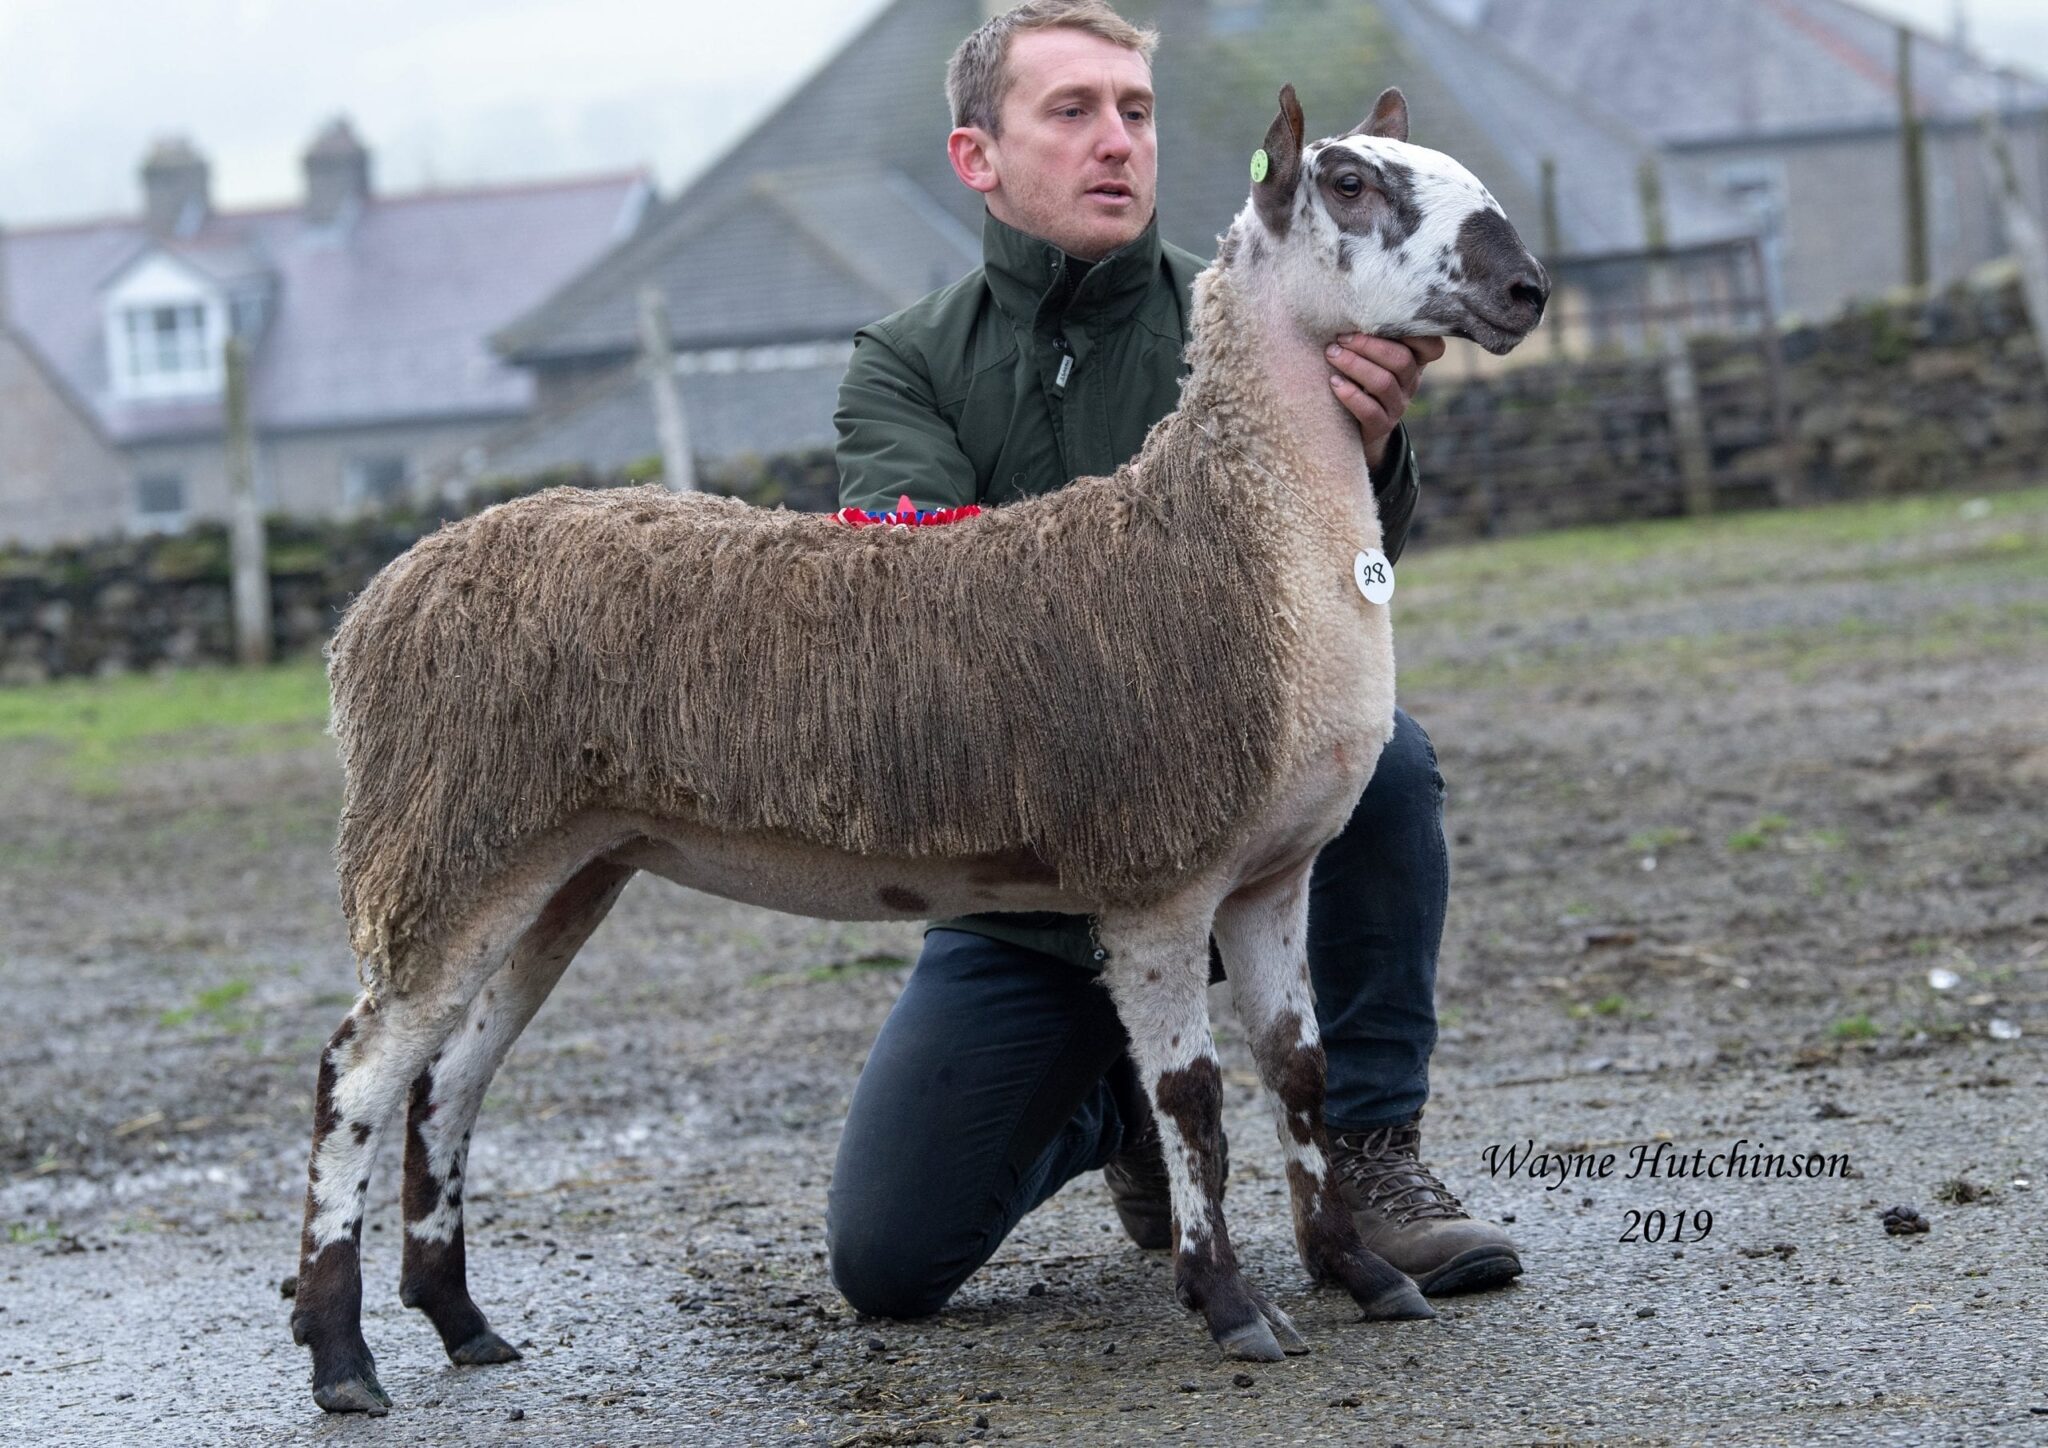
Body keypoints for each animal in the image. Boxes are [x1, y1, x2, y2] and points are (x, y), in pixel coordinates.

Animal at [284, 87, 1540, 1417]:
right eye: (1348, 183)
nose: (1525, 290)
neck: (1244, 540)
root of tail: (378, 602)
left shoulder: (1272, 874)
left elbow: (1298, 1074)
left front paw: (1359, 1272)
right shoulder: (1158, 873)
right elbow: (1194, 1098)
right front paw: (1231, 1305)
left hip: (568, 858)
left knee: (449, 1076)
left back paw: (460, 1318)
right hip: (450, 835)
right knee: (357, 1072)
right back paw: (342, 1354)